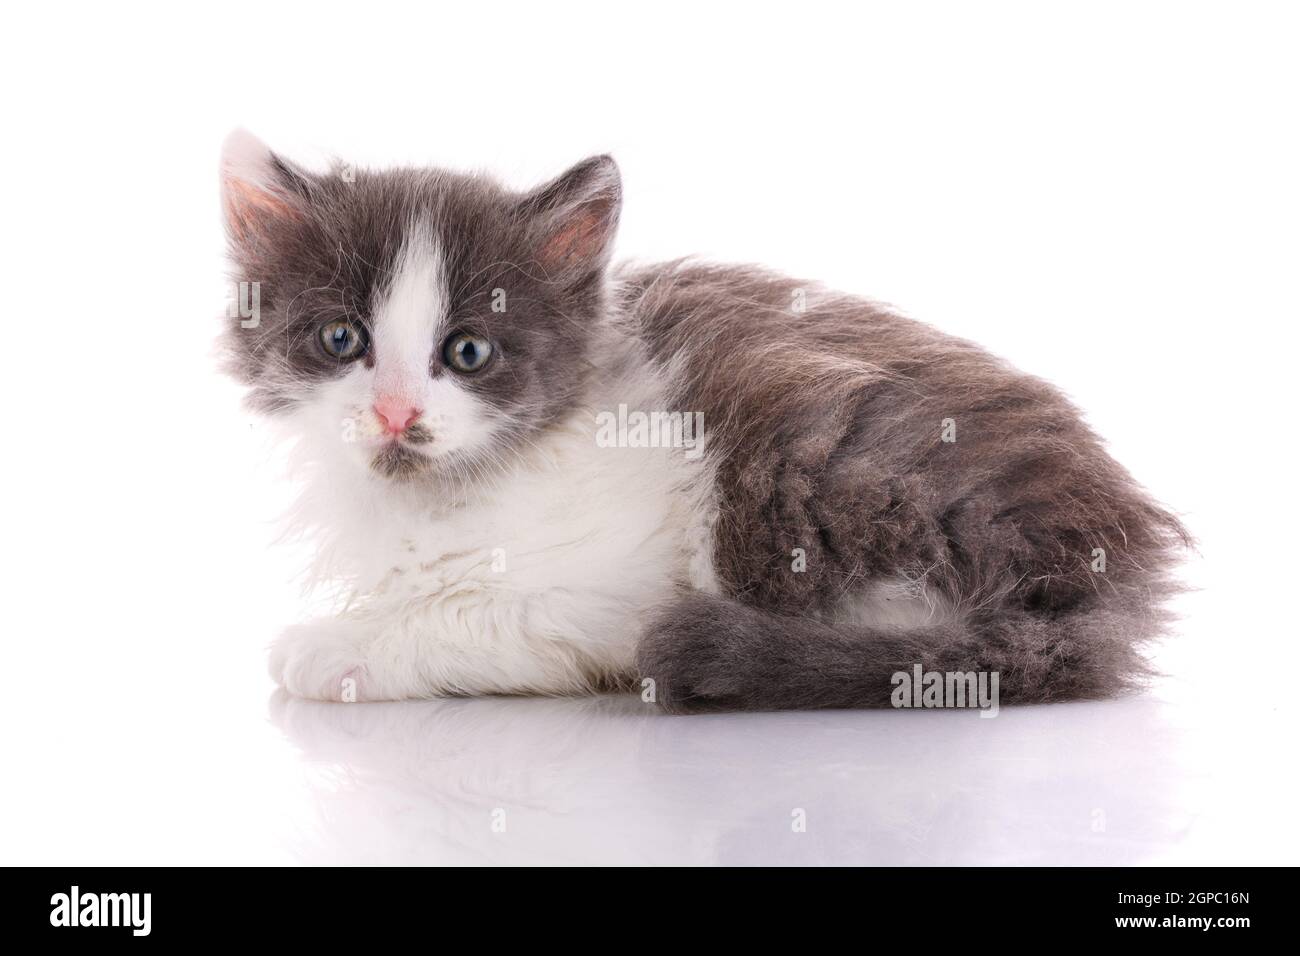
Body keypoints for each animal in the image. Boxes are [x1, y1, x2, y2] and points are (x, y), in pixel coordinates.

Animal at [220, 128, 1190, 712]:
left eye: (467, 352)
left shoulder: (609, 596)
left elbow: (475, 617)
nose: (396, 410)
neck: (433, 493)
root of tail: (1114, 552)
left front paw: (339, 646)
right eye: (342, 339)